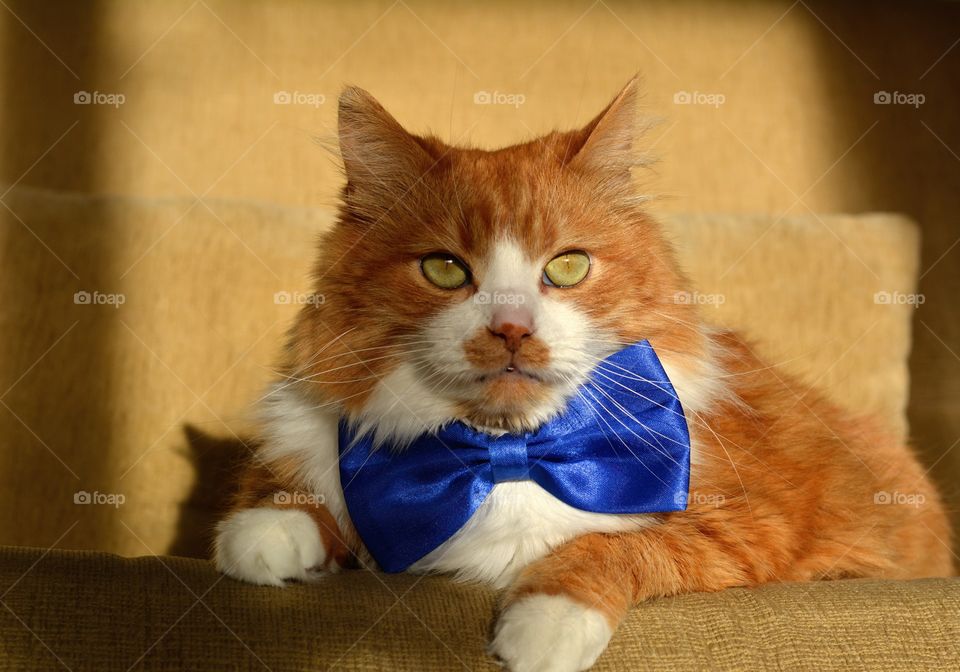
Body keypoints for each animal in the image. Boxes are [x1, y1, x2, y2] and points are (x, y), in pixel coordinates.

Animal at [212, 79, 952, 672]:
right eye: (444, 269)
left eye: (567, 267)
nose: (512, 329)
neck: (507, 450)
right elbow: (290, 488)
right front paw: (269, 532)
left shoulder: (746, 526)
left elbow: (613, 546)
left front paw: (545, 625)